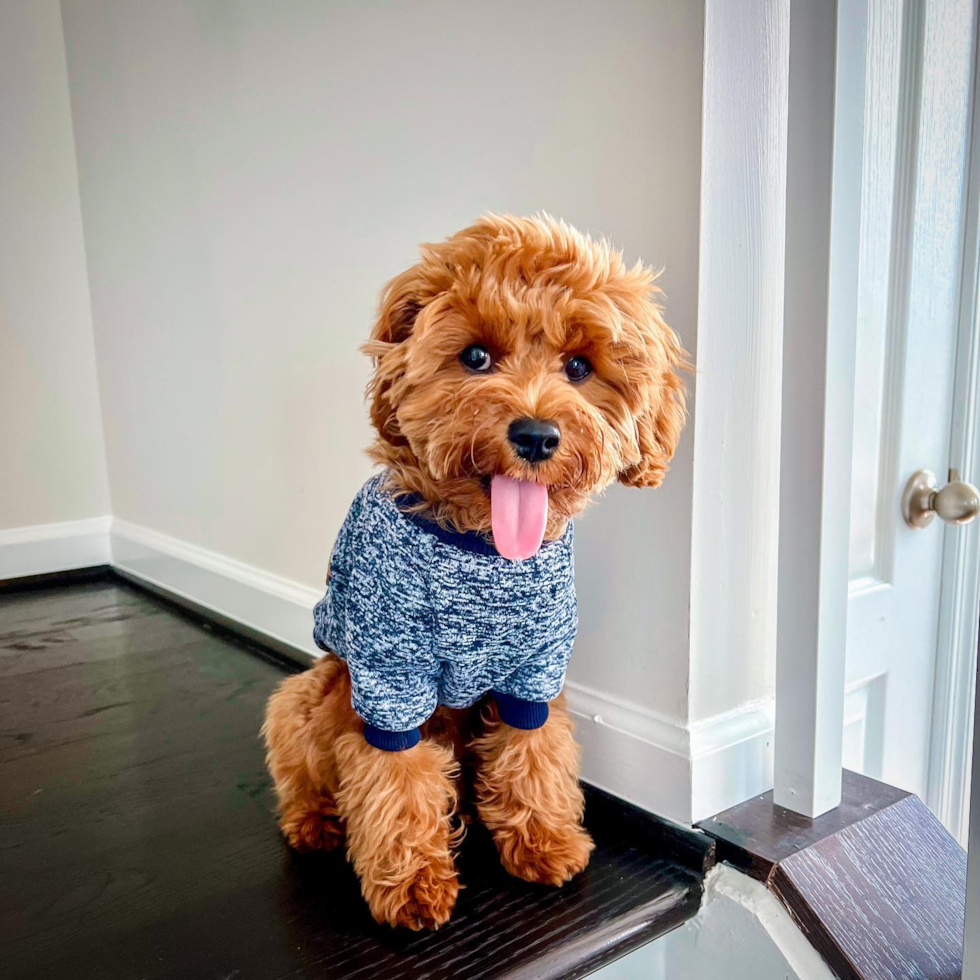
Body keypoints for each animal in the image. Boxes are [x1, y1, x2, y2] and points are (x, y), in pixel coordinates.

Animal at [260, 211, 688, 932]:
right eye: (476, 357)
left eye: (580, 366)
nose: (537, 435)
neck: (481, 552)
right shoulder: (389, 673)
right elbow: (395, 779)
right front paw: (413, 884)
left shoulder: (537, 667)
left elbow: (533, 754)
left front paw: (545, 842)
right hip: (309, 695)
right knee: (304, 765)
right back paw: (315, 822)